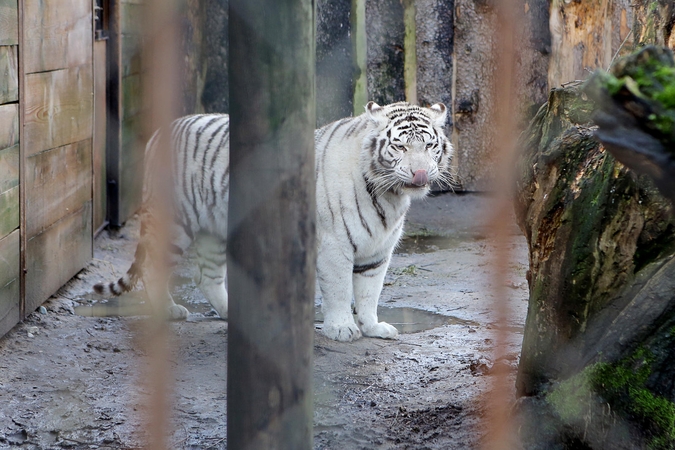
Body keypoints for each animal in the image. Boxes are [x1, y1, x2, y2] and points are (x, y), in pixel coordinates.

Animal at [92, 102, 454, 342]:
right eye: (400, 146)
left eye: (429, 145)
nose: (421, 174)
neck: (389, 195)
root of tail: (159, 133)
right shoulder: (334, 245)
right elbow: (340, 290)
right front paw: (341, 328)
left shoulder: (378, 250)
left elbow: (369, 292)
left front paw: (373, 326)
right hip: (176, 223)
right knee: (154, 268)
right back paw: (167, 311)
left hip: (216, 230)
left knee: (206, 276)